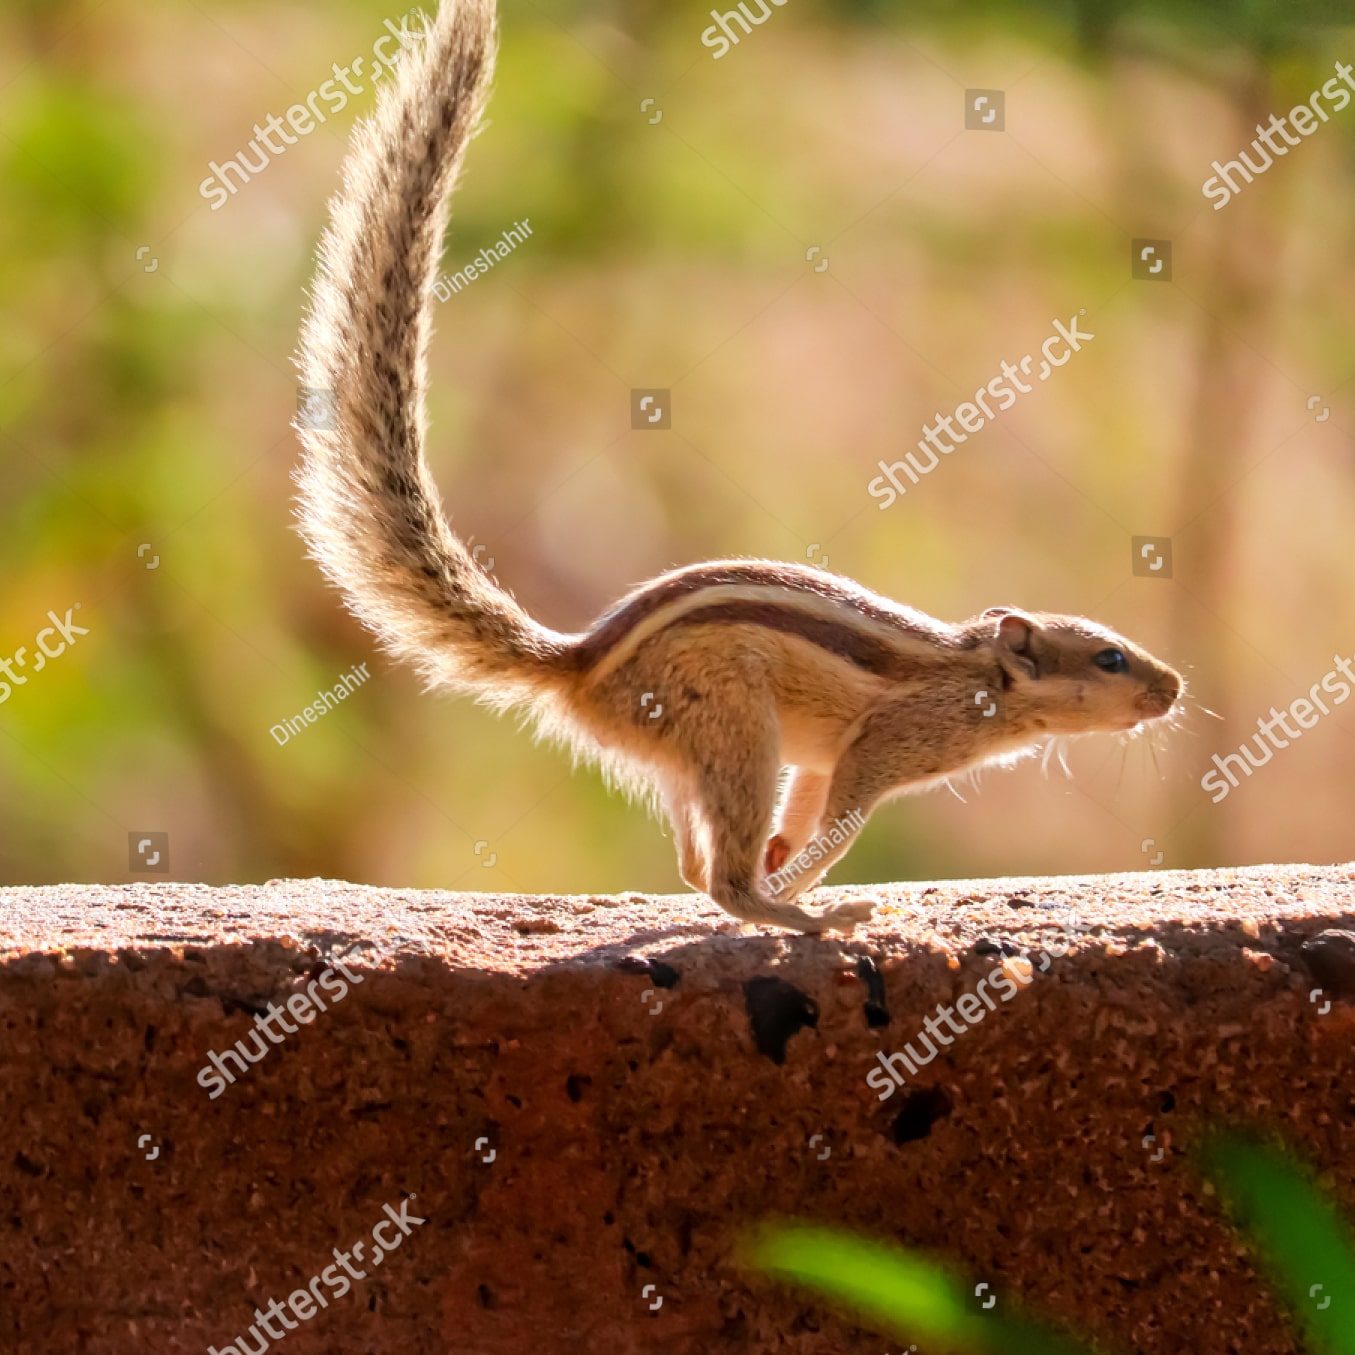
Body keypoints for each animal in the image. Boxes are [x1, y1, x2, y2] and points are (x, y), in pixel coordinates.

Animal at [294, 0, 1184, 934]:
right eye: (1109, 659)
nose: (1174, 687)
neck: (978, 676)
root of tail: (579, 663)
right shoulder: (883, 745)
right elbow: (842, 818)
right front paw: (805, 880)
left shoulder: (822, 760)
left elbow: (810, 812)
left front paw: (791, 862)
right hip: (735, 730)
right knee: (719, 876)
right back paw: (804, 916)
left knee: (693, 864)